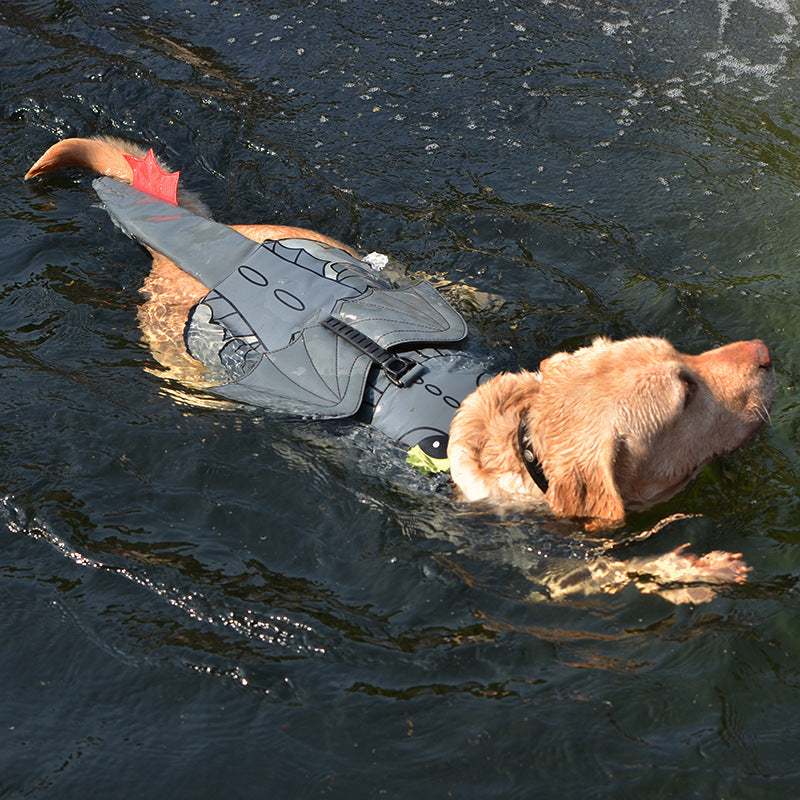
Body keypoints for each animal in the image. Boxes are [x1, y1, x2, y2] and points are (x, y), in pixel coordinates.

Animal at [25, 138, 776, 600]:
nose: (767, 354)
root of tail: (192, 256)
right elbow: (611, 573)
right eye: (684, 393)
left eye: (681, 356)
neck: (514, 442)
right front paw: (691, 569)